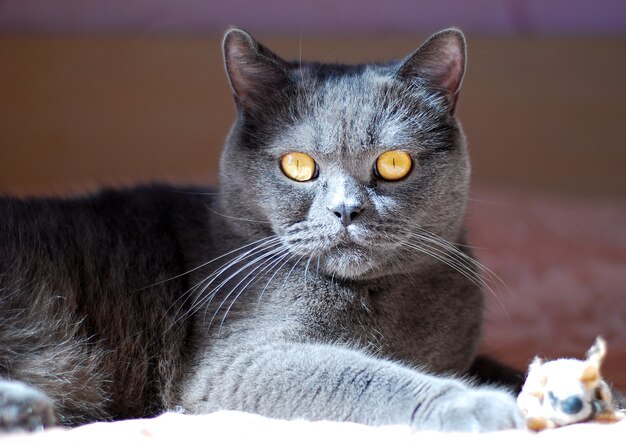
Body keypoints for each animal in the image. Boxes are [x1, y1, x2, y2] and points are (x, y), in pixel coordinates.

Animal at [2, 28, 524, 434]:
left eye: (394, 164)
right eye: (298, 166)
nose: (345, 210)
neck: (386, 302)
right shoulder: (240, 359)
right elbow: (362, 375)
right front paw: (483, 405)